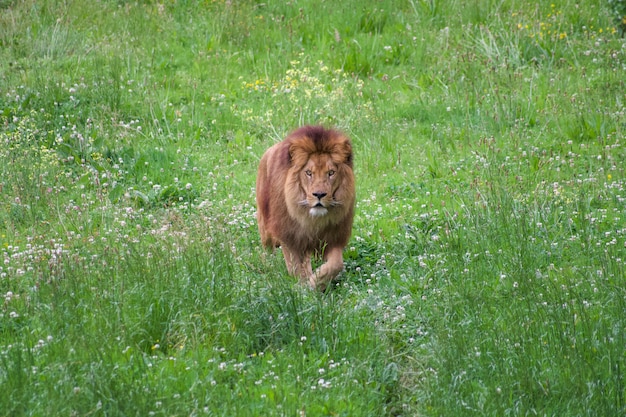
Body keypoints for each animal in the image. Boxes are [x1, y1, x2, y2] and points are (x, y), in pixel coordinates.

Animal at [252, 126, 352, 290]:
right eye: (308, 173)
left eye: (331, 173)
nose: (319, 194)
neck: (312, 218)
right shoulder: (290, 235)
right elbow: (295, 267)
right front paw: (303, 287)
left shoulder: (332, 237)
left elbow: (336, 264)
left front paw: (316, 281)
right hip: (265, 225)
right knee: (268, 248)